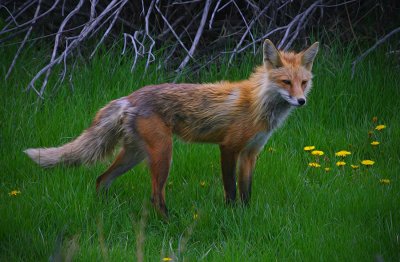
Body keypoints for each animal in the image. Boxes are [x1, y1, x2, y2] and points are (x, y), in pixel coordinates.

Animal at [25, 39, 318, 217]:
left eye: (303, 83)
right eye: (285, 82)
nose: (302, 101)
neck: (258, 104)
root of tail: (130, 97)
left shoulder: (251, 153)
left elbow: (246, 191)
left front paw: (244, 217)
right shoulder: (229, 148)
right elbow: (231, 189)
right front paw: (231, 215)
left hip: (135, 155)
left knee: (101, 179)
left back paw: (101, 212)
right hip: (163, 154)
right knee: (155, 196)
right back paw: (168, 223)